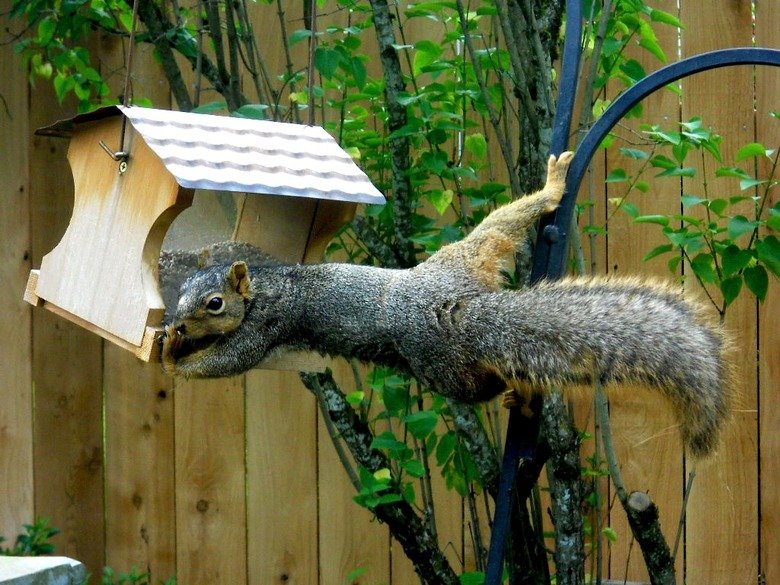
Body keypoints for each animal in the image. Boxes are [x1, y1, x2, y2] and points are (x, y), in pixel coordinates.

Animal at [160, 152, 730, 458]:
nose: (179, 324)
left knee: (483, 386)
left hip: (441, 368)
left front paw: (171, 359)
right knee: (500, 228)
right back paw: (549, 190)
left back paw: (519, 392)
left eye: (214, 304)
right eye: (182, 293)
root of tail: (454, 302)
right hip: (471, 254)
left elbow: (232, 359)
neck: (266, 285)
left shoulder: (266, 326)